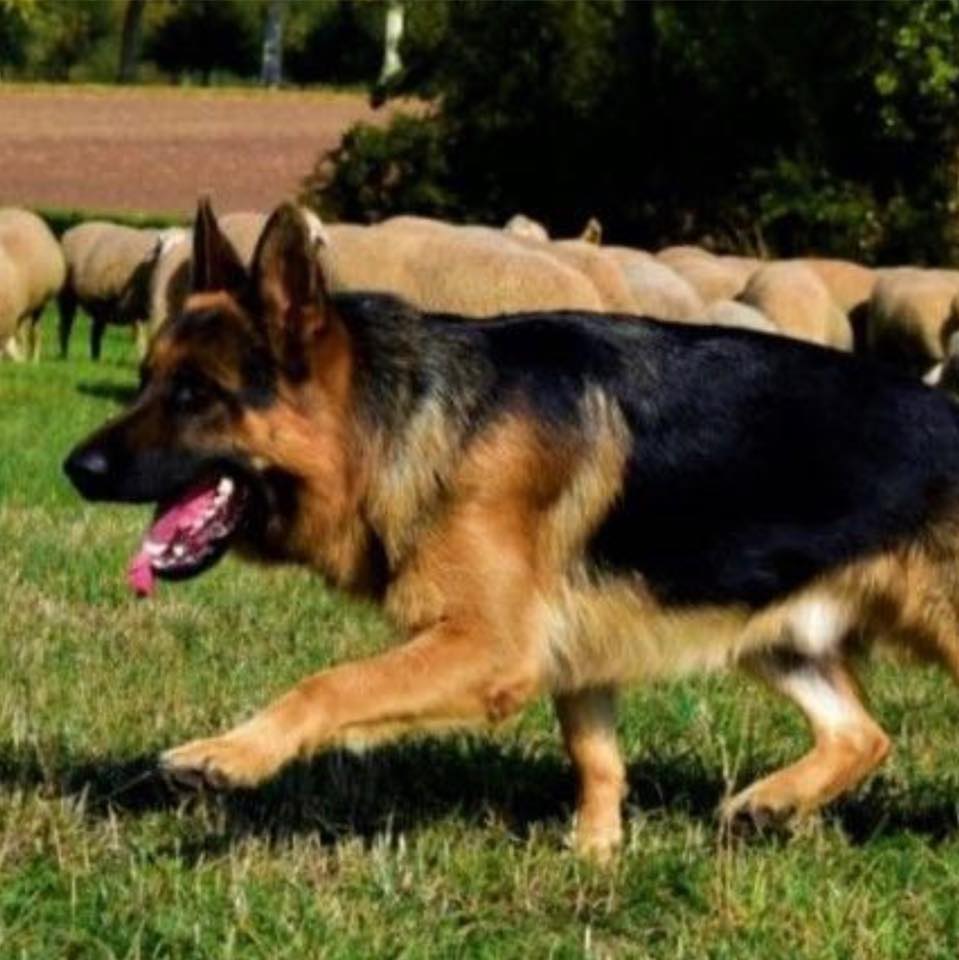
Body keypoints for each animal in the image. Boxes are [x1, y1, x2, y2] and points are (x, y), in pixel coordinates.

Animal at [59, 221, 164, 359]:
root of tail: (70, 231)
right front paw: (142, 357)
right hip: (67, 294)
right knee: (66, 325)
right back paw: (64, 355)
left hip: (101, 301)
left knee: (96, 331)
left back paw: (95, 358)